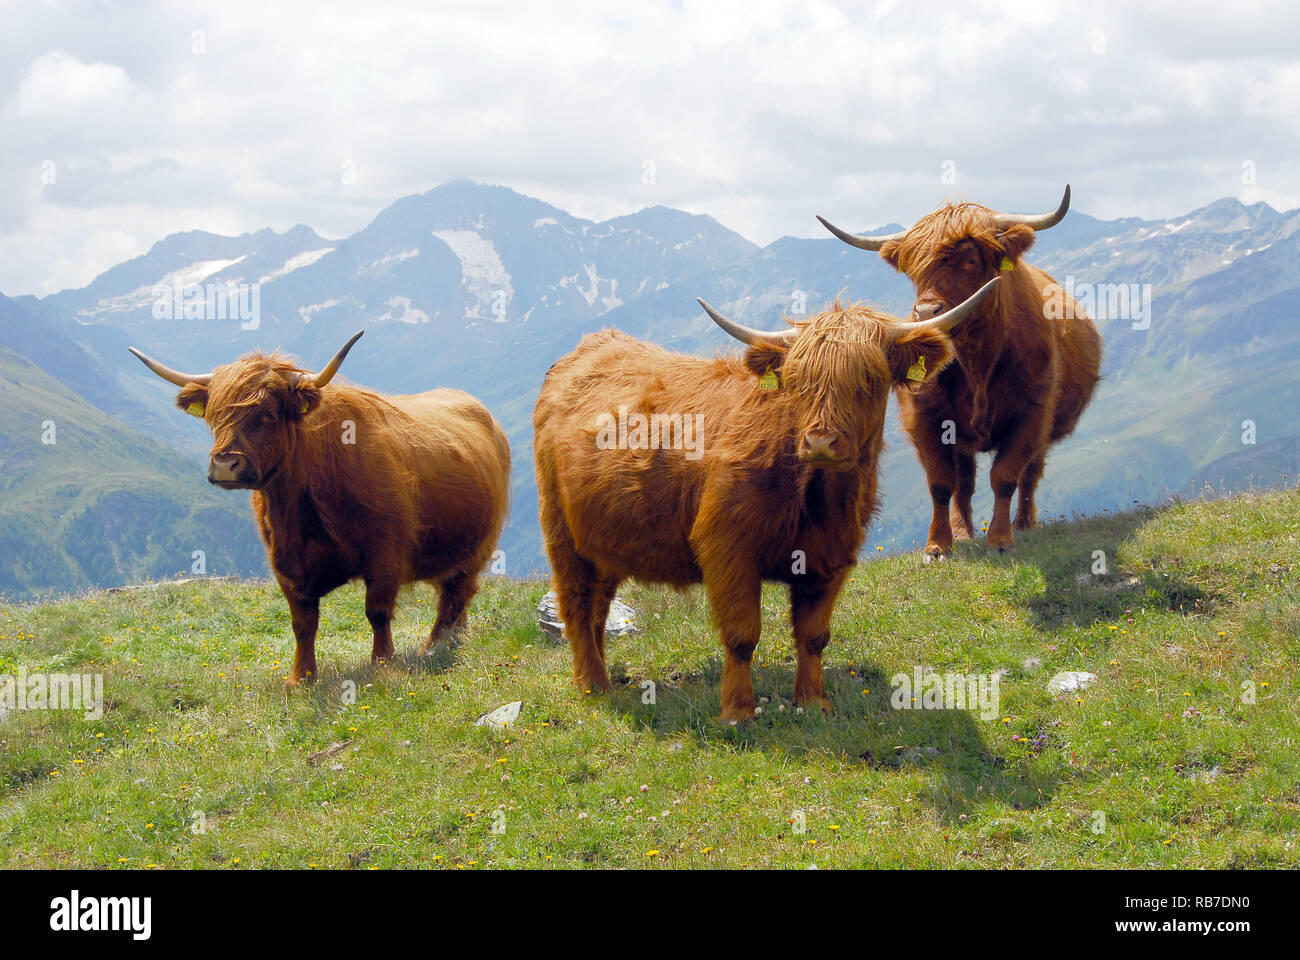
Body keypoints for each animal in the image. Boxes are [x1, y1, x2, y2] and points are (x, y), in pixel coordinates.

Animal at [125, 333, 512, 686]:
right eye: (215, 415)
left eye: (267, 414)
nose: (224, 466)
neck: (298, 510)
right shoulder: (285, 565)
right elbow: (303, 623)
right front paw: (301, 678)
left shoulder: (385, 553)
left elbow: (377, 611)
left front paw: (382, 664)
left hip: (479, 544)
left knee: (456, 593)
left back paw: (433, 646)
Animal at [533, 277, 998, 718]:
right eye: (798, 381)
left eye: (869, 378)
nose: (821, 441)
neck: (817, 495)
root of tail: (588, 347)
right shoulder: (727, 546)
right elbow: (741, 634)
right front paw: (738, 711)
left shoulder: (833, 554)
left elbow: (813, 635)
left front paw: (814, 702)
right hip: (560, 531)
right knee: (576, 603)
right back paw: (594, 685)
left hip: (602, 539)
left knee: (597, 606)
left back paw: (600, 674)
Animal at [811, 184, 1097, 554]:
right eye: (914, 268)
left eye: (971, 260)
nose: (926, 311)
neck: (976, 359)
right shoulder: (925, 417)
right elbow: (942, 482)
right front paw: (938, 545)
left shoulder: (1033, 414)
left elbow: (1006, 477)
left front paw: (1001, 540)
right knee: (965, 482)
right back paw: (963, 532)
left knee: (1030, 474)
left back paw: (1023, 524)